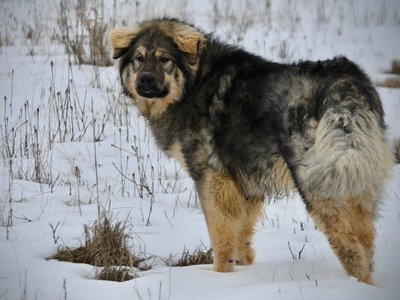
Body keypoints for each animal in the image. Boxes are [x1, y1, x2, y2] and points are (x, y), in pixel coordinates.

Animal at [110, 18, 394, 284]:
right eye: (138, 59)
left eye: (165, 59)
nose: (145, 80)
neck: (195, 82)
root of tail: (345, 83)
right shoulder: (244, 183)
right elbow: (241, 232)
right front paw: (243, 267)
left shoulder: (211, 178)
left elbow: (220, 234)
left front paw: (219, 276)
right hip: (354, 177)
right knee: (365, 238)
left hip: (318, 182)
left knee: (350, 247)